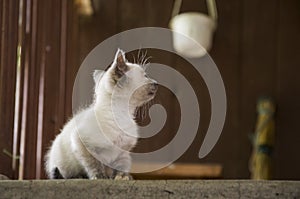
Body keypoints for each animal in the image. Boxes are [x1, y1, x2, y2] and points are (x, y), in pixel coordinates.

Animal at [45, 49, 157, 180]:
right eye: (145, 76)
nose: (156, 83)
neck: (123, 115)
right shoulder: (81, 142)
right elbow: (94, 164)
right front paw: (100, 177)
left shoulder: (123, 153)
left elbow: (121, 167)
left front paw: (122, 177)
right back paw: (80, 177)